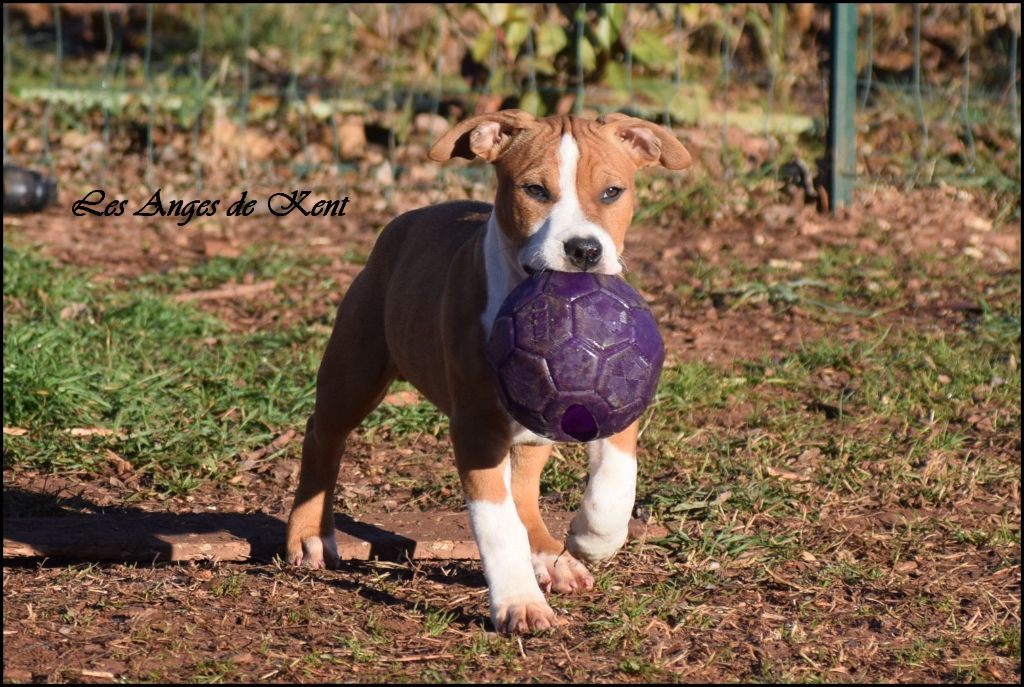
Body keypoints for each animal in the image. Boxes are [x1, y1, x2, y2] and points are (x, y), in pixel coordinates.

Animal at [284, 111, 692, 634]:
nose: (583, 250)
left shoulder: (617, 391)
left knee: (525, 488)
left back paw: (552, 557)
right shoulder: (476, 426)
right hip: (356, 366)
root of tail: (409, 220)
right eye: (535, 190)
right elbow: (496, 522)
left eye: (612, 192)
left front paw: (589, 539)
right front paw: (520, 601)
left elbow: (616, 479)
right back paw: (310, 534)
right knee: (323, 435)